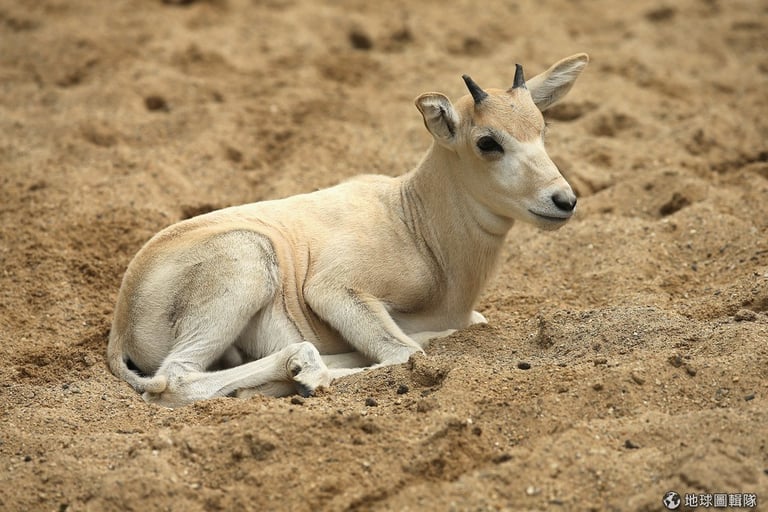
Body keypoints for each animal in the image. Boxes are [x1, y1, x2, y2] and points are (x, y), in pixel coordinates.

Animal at [106, 51, 588, 404]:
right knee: (176, 380)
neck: (412, 216)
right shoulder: (333, 290)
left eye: (542, 128)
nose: (563, 200)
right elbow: (404, 352)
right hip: (249, 259)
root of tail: (121, 324)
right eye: (487, 141)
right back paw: (301, 372)